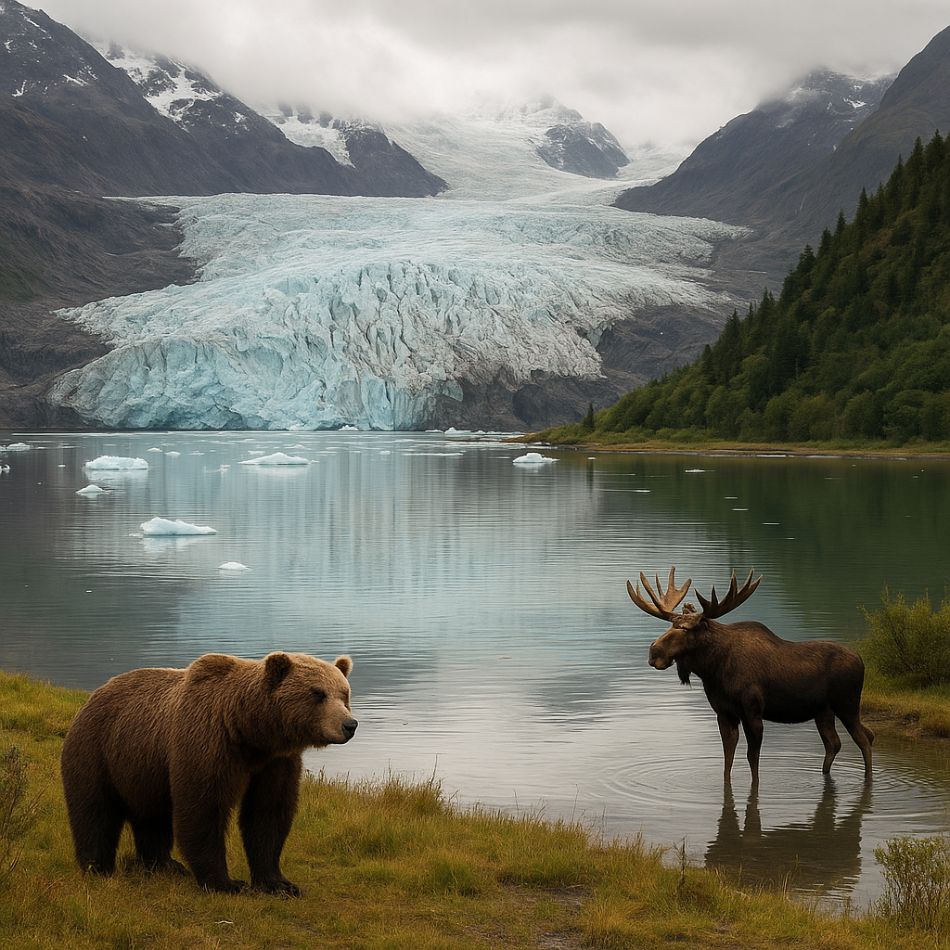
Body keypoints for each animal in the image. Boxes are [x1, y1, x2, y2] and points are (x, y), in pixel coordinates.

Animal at [60, 651, 356, 895]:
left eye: (344, 694)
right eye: (317, 693)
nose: (349, 724)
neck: (248, 732)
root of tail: (94, 694)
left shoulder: (275, 762)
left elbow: (268, 814)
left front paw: (279, 884)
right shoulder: (207, 745)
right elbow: (203, 808)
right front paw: (226, 883)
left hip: (144, 768)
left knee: (153, 817)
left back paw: (163, 864)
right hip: (97, 751)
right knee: (95, 811)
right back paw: (97, 866)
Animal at [628, 568, 873, 784]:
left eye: (686, 629)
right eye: (671, 625)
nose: (654, 652)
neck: (714, 671)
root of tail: (862, 660)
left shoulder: (752, 711)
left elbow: (752, 759)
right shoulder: (723, 712)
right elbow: (728, 758)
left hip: (847, 704)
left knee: (864, 739)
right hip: (822, 711)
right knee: (836, 743)